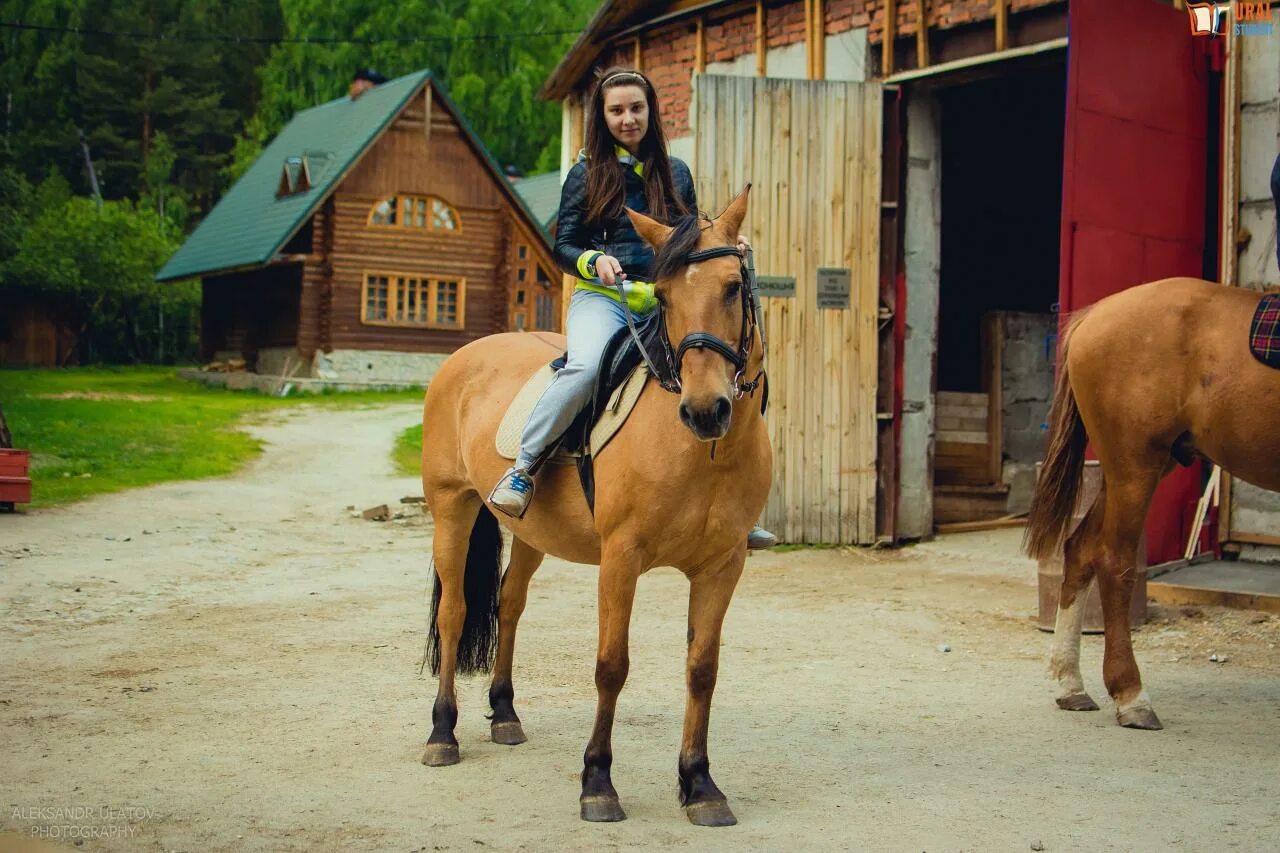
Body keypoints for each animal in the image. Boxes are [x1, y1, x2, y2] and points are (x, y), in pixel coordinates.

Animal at [417, 188, 768, 824]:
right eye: (664, 295)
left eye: (733, 286)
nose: (706, 410)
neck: (704, 453)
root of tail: (464, 357)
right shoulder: (621, 558)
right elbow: (612, 666)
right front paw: (598, 782)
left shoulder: (723, 566)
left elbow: (702, 669)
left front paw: (700, 784)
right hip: (451, 509)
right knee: (454, 612)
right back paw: (442, 733)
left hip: (531, 533)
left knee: (508, 605)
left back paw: (505, 715)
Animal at [1024, 275, 1280, 727]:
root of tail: (1096, 314)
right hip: (1135, 465)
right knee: (1114, 561)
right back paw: (1131, 695)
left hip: (1132, 468)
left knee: (1080, 549)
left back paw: (1070, 683)